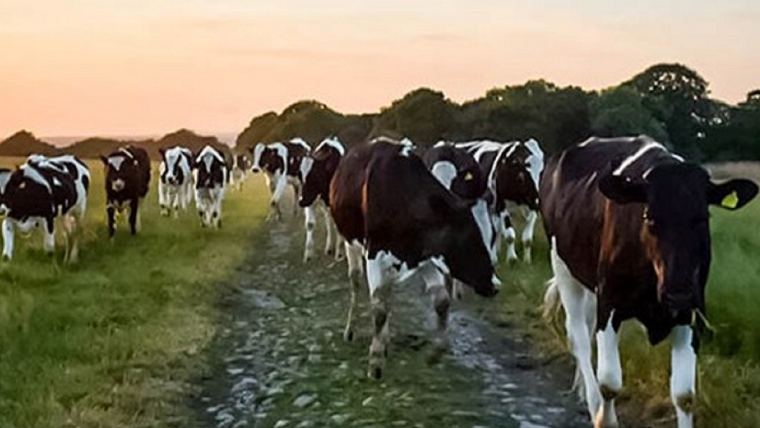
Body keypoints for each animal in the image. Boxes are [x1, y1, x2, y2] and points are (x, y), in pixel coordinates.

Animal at [330, 137, 500, 379]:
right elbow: (379, 309)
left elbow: (441, 301)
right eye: (469, 239)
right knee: (356, 282)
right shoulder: (374, 254)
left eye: (492, 235)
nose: (494, 285)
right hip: (349, 242)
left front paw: (436, 352)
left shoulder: (425, 255)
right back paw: (351, 331)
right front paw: (375, 362)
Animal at [540, 136, 758, 428]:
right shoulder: (609, 303)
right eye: (649, 217)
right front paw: (605, 418)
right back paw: (593, 402)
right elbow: (609, 382)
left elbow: (685, 395)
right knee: (579, 338)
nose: (678, 293)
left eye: (703, 218)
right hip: (564, 268)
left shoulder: (690, 312)